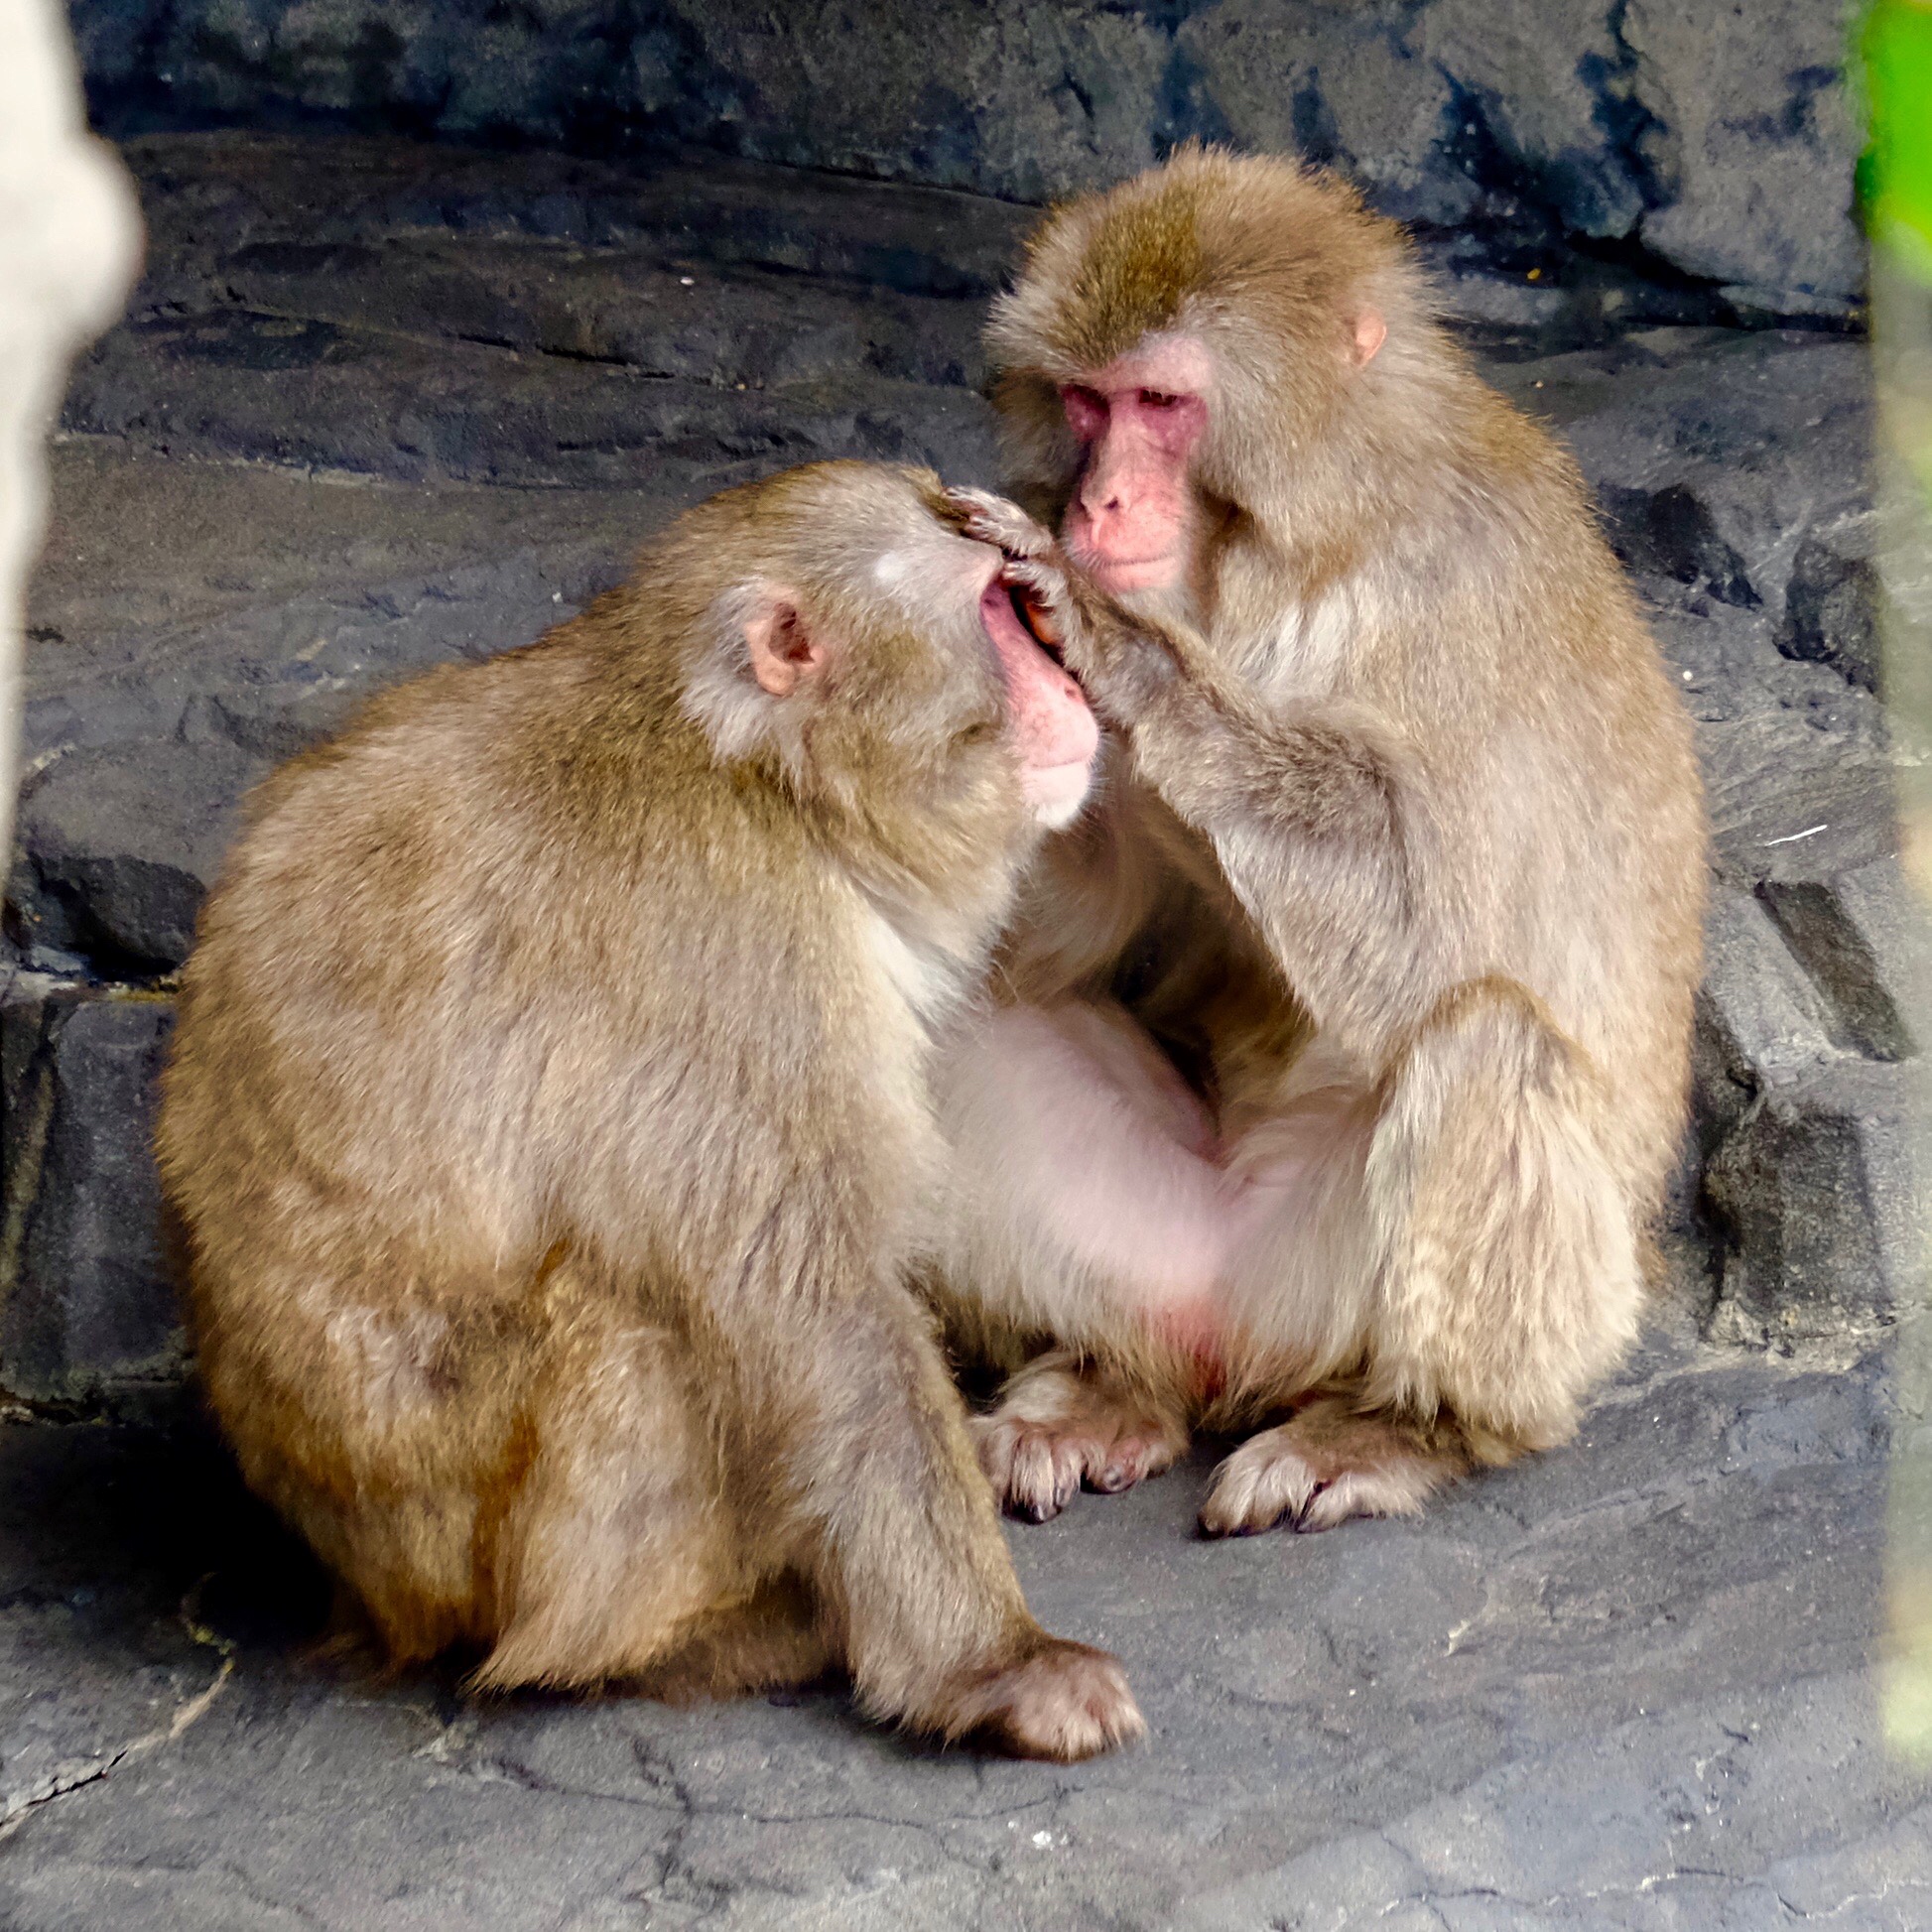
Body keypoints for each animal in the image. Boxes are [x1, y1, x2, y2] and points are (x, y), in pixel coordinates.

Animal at [158, 459, 1143, 1761]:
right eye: (996, 611)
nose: (1071, 687)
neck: (759, 773)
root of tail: (371, 1597)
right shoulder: (734, 955)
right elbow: (815, 1310)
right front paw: (993, 1667)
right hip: (474, 1542)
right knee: (636, 1326)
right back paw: (677, 1644)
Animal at [927, 146, 1700, 1537]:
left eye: (1162, 403)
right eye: (1084, 403)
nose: (1098, 499)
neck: (1274, 547)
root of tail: (1222, 1323)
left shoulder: (1456, 587)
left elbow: (1427, 911)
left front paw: (1123, 650)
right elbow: (1062, 934)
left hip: (1359, 1297)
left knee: (1489, 1036)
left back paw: (1407, 1429)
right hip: (1143, 1243)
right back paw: (1101, 1383)